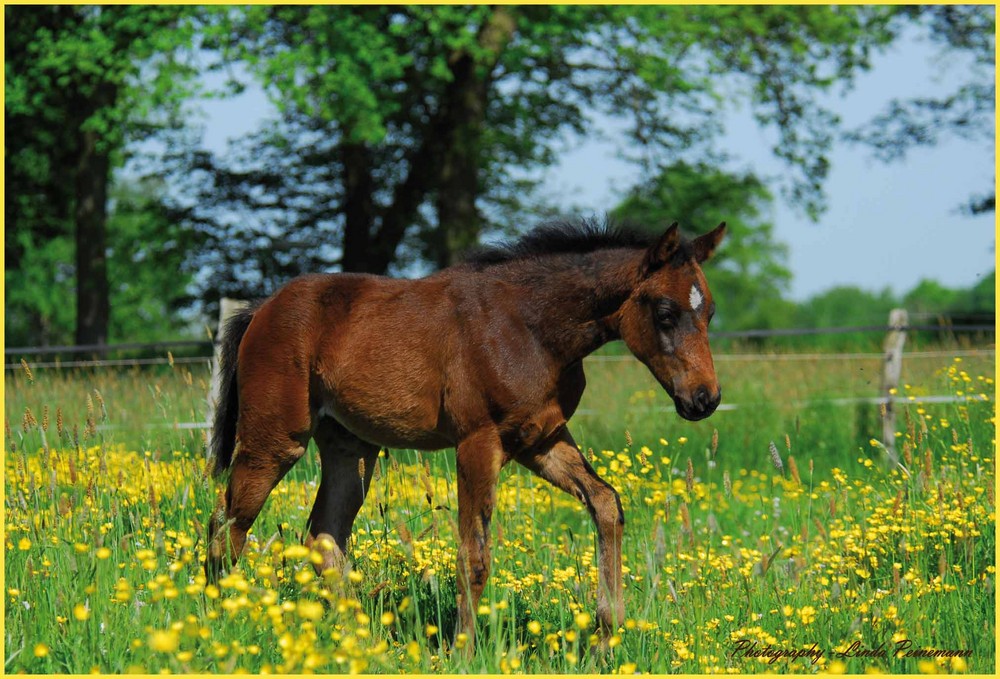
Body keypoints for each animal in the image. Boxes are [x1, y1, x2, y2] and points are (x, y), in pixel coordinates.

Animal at [207, 220, 724, 652]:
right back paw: (218, 617)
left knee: (323, 535)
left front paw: (605, 637)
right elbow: (473, 554)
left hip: (350, 447)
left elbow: (607, 504)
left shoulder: (541, 440)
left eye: (710, 312)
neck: (530, 327)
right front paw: (464, 651)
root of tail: (262, 308)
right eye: (664, 313)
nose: (705, 399)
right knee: (228, 522)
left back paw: (359, 638)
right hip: (276, 439)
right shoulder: (478, 442)